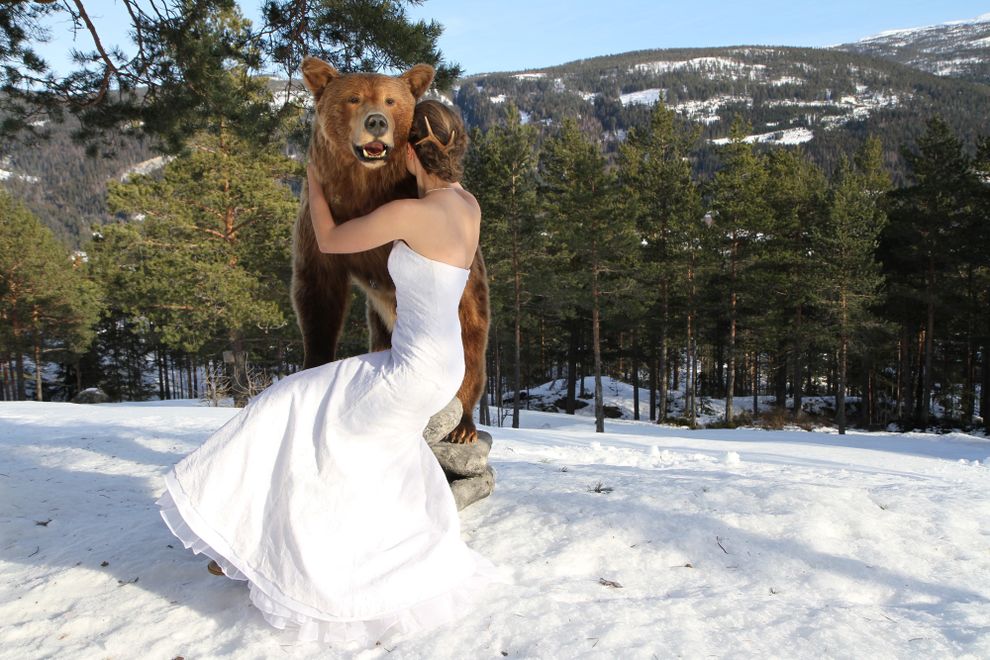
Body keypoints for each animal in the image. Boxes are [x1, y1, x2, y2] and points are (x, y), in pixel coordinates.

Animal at [292, 58, 490, 444]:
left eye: (390, 100)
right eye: (353, 98)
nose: (376, 123)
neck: (364, 188)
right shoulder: (317, 226)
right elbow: (317, 293)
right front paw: (313, 362)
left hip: (469, 308)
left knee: (472, 347)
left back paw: (463, 424)